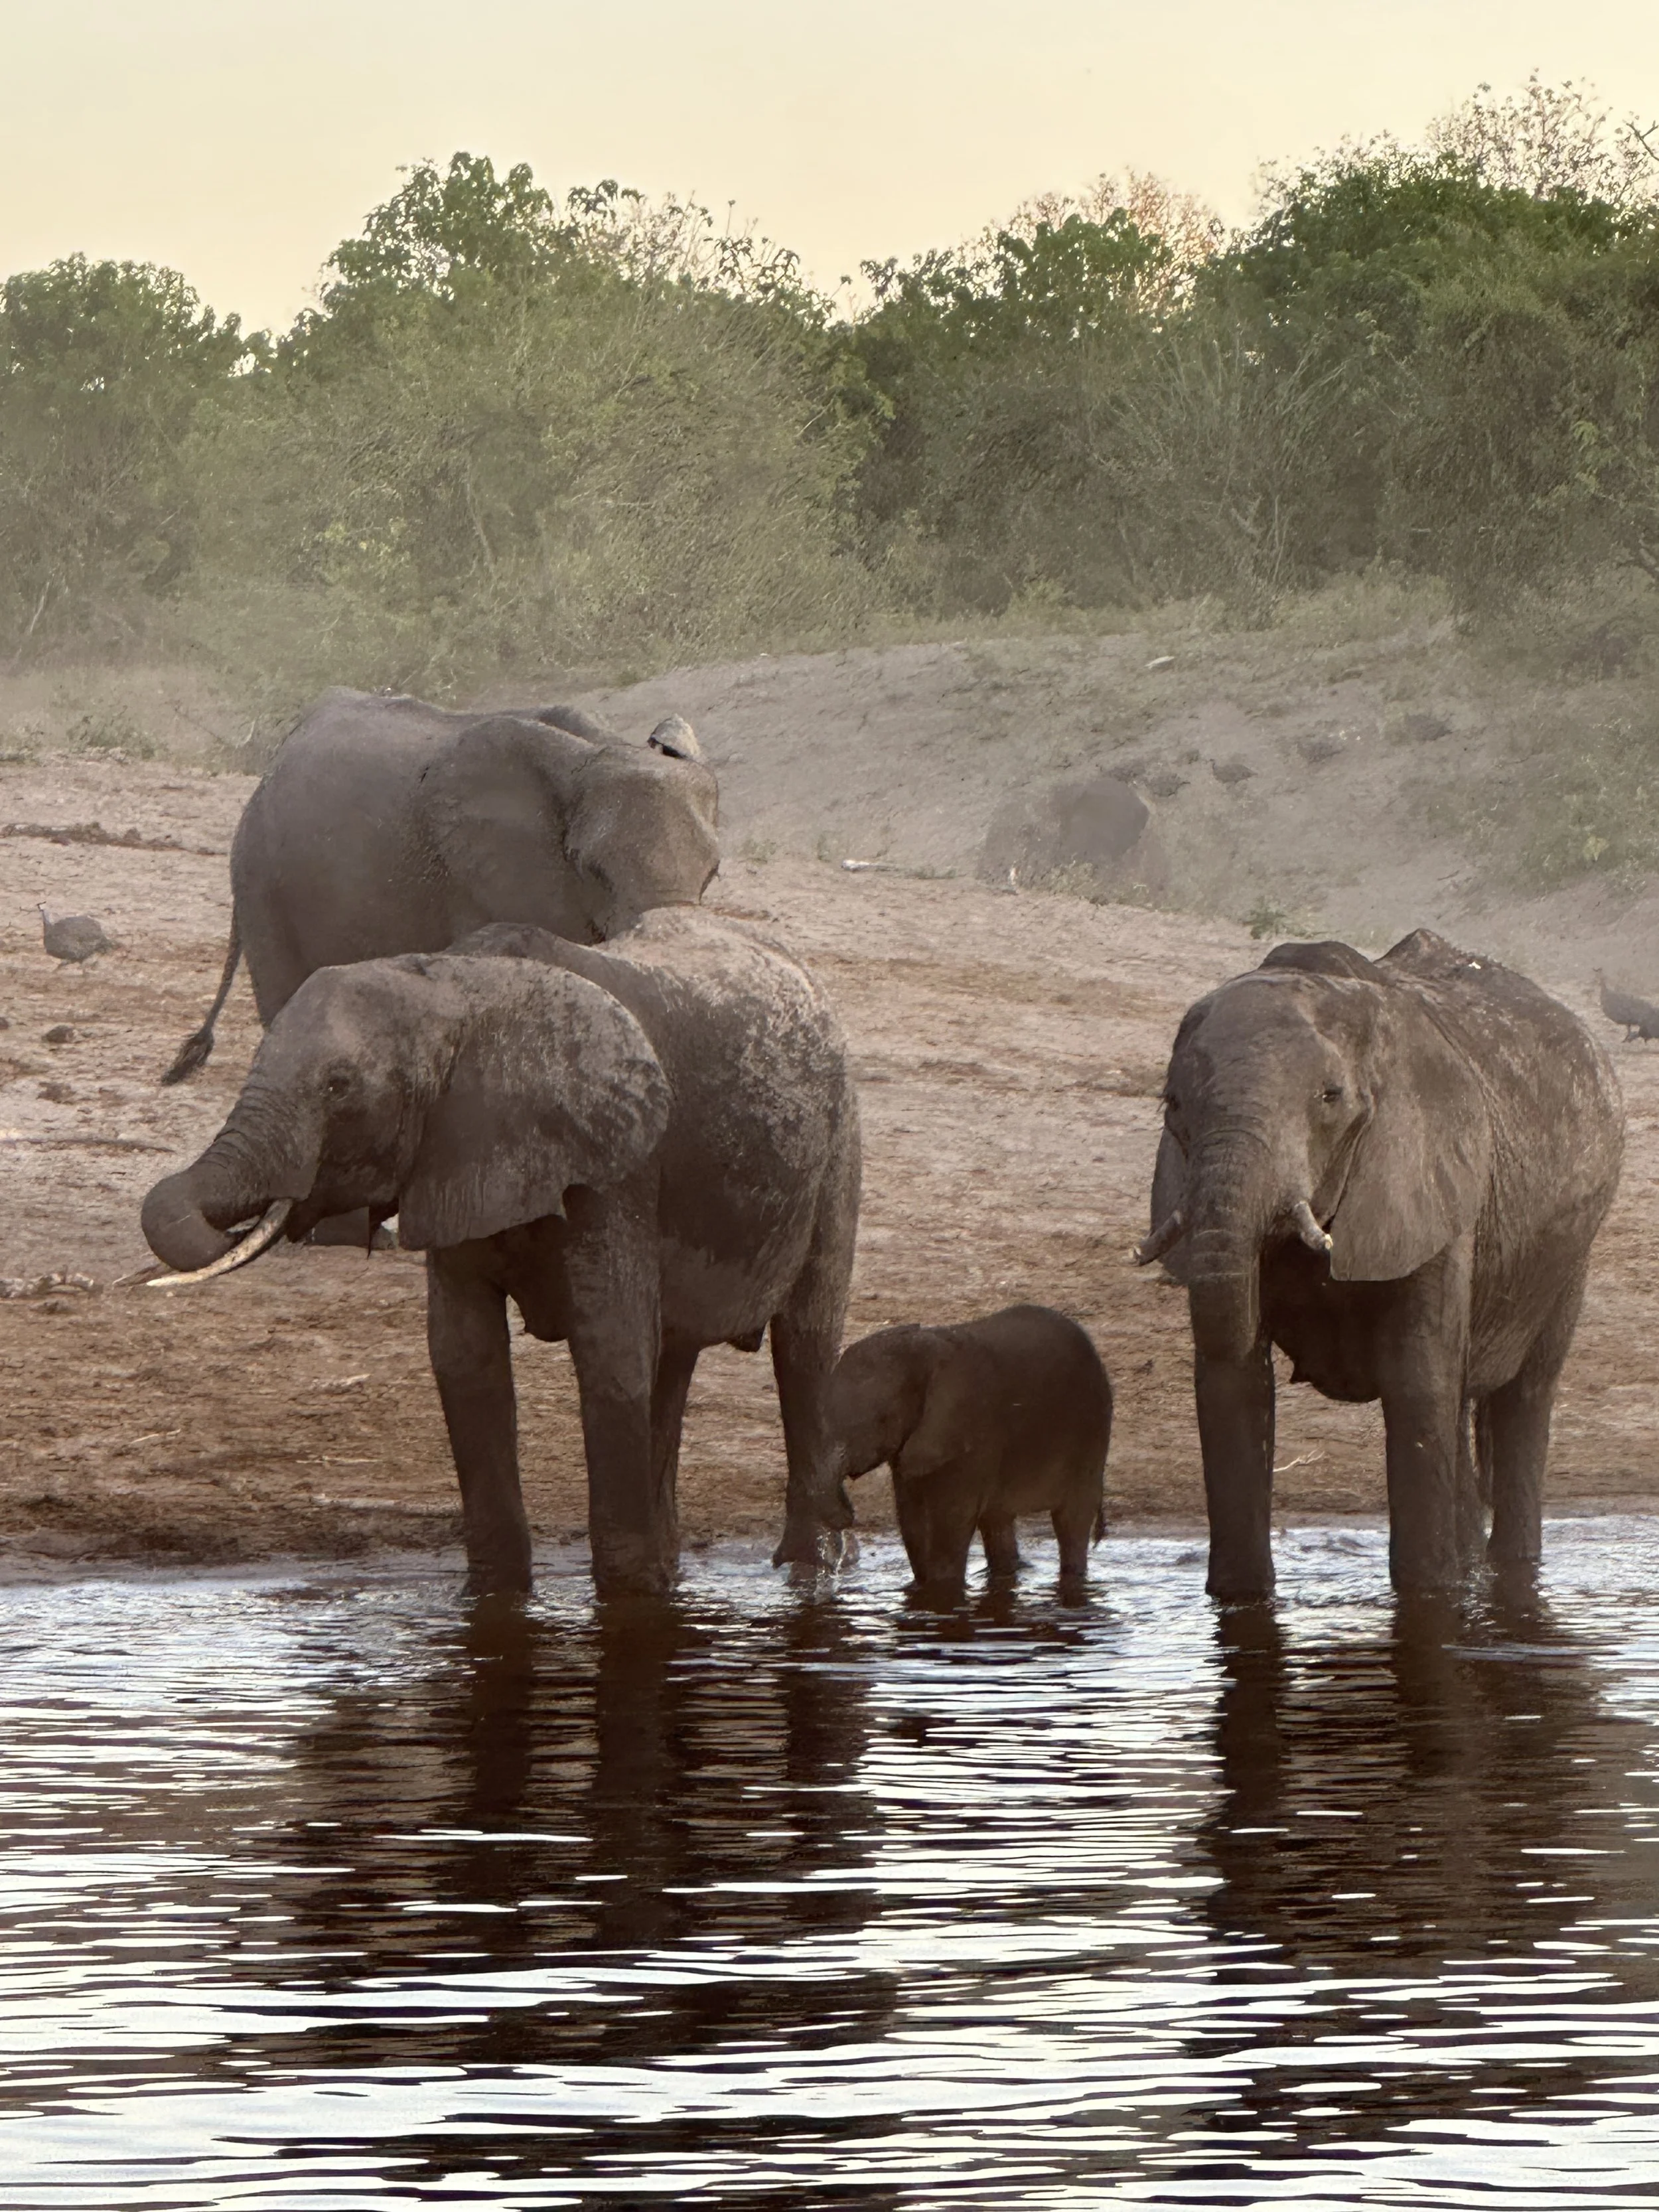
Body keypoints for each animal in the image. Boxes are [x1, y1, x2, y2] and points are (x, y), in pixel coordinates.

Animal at [140, 912, 860, 1598]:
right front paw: (494, 1593)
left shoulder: (617, 1166)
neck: (457, 991)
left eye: (339, 1087)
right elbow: (466, 1360)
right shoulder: (452, 1155)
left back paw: (809, 1568)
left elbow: (610, 1348)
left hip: (839, 1142)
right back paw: (679, 1568)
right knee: (674, 1358)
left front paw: (627, 1597)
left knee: (803, 1346)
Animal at [827, 1305, 1113, 1591]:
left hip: (1092, 1436)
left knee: (1072, 1520)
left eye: (883, 1419)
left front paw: (941, 1591)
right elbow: (912, 1521)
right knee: (997, 1520)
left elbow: (950, 1523)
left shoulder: (970, 1433)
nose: (849, 1518)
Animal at [1141, 930, 1624, 1601]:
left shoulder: (1430, 1179)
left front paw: (1430, 1598)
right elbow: (1232, 1387)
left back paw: (1511, 1569)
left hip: (1569, 1248)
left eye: (1330, 1098)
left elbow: (1417, 1381)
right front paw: (1240, 1600)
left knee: (1524, 1395)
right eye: (1173, 1103)